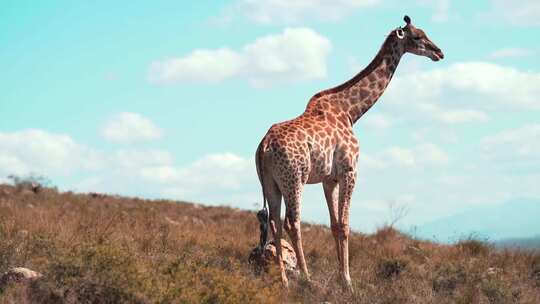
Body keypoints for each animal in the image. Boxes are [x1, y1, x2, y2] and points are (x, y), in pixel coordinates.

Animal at [254, 16, 442, 288]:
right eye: (417, 36)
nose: (439, 52)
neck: (351, 112)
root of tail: (264, 147)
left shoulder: (329, 178)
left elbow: (334, 224)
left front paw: (341, 275)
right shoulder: (350, 170)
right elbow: (344, 225)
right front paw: (347, 281)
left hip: (270, 182)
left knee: (275, 221)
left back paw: (284, 280)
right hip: (295, 177)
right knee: (292, 221)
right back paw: (306, 277)